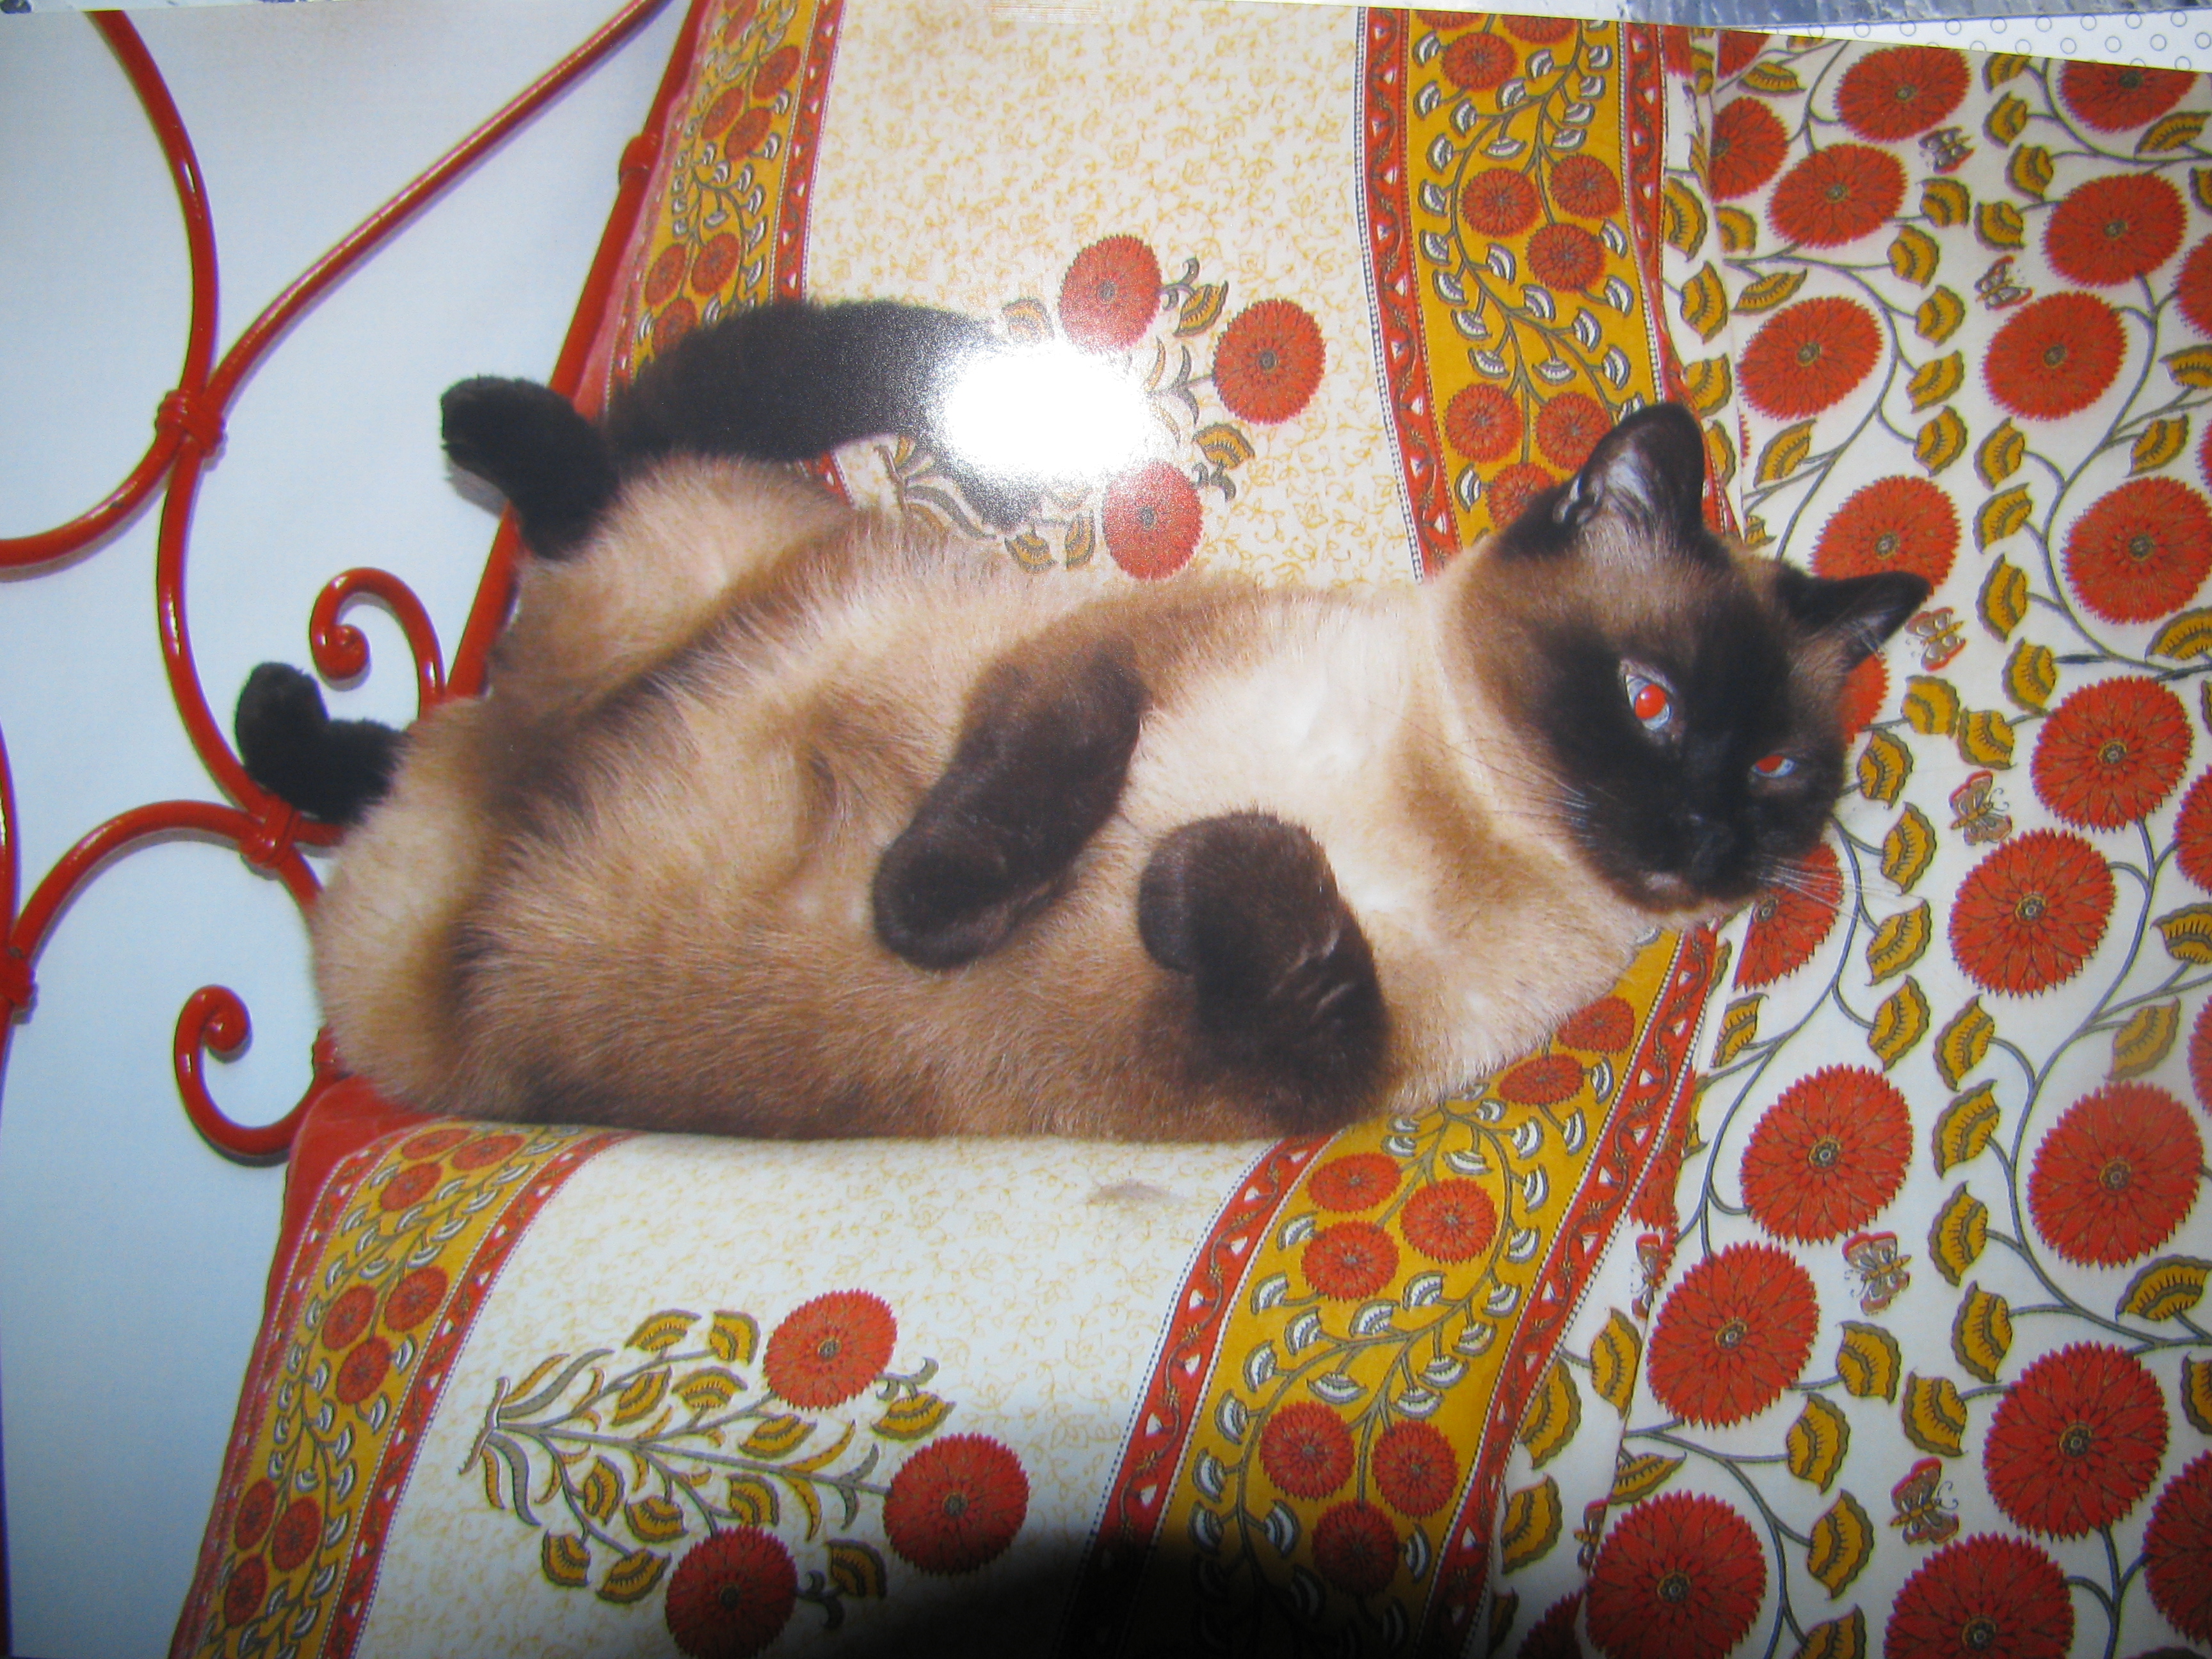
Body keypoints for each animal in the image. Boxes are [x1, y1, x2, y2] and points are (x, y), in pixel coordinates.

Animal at [238, 299, 1927, 1141]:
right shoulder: (1091, 655)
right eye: (1648, 701)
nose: (1705, 833)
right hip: (686, 580)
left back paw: (319, 726)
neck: (1457, 822)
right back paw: (442, 489)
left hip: (419, 909)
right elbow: (1031, 793)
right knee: (589, 485)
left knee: (411, 745)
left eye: (1782, 769)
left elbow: (1258, 900)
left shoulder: (1301, 1070)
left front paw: (1182, 874)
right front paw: (933, 910)